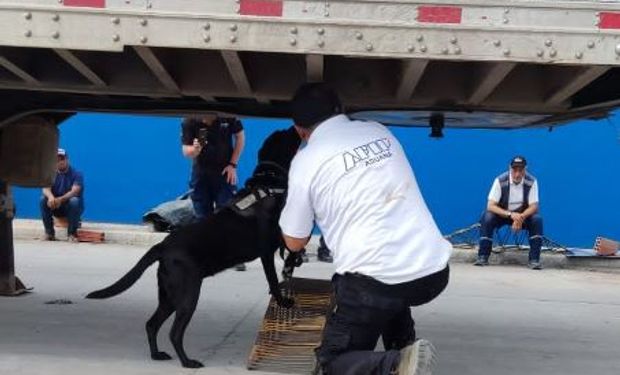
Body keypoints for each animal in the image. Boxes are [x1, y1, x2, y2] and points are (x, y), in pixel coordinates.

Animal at [86, 128, 302, 368]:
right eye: (286, 135)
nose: (294, 127)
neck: (267, 183)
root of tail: (162, 245)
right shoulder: (266, 252)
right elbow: (273, 281)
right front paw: (283, 301)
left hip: (169, 296)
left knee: (151, 324)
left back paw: (157, 354)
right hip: (188, 295)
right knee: (174, 333)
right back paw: (187, 361)